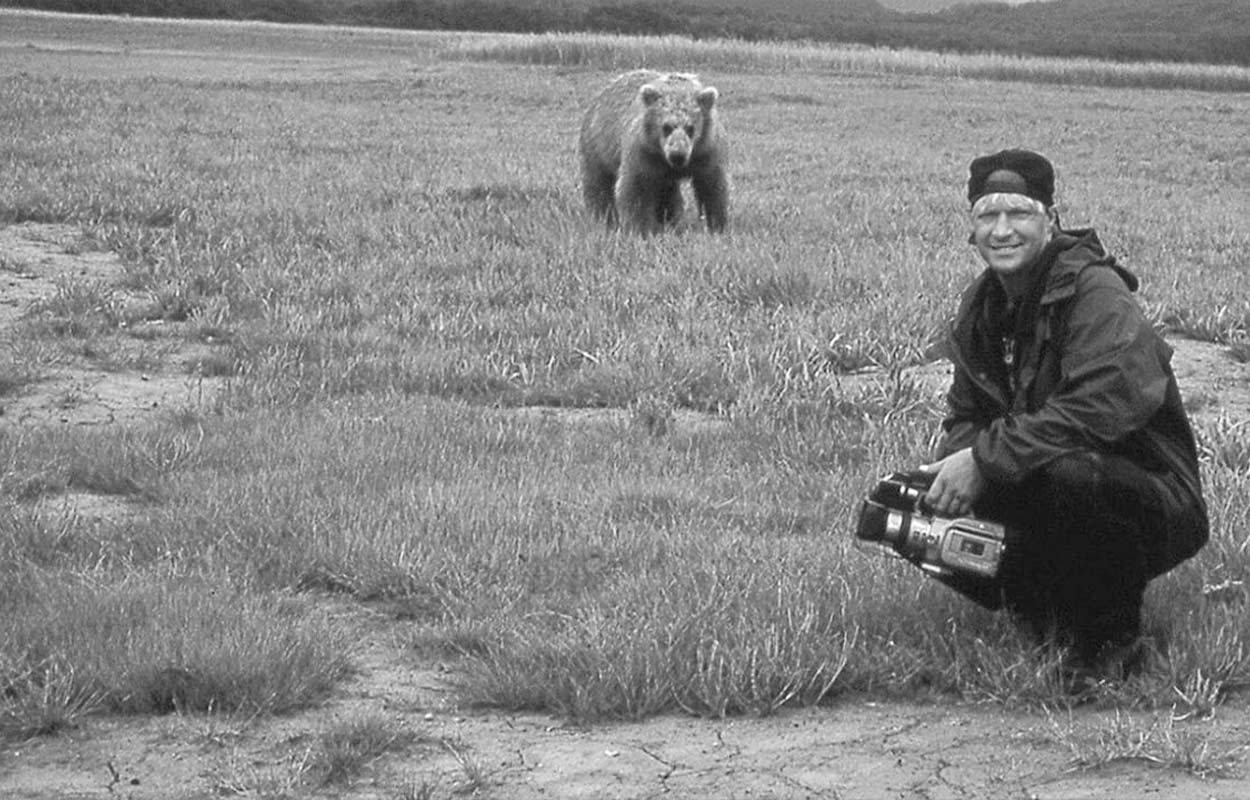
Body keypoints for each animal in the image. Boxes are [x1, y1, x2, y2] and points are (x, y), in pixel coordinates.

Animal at [578, 69, 729, 235]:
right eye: (666, 127)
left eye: (691, 128)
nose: (678, 155)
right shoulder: (643, 153)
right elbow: (636, 189)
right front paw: (640, 228)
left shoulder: (706, 152)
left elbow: (712, 187)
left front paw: (716, 225)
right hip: (598, 148)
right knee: (598, 184)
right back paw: (604, 218)